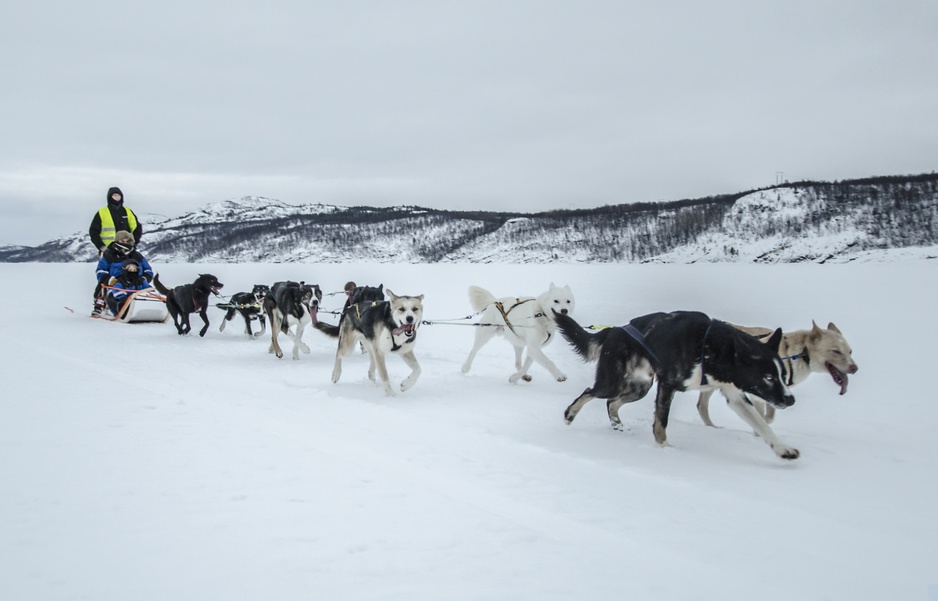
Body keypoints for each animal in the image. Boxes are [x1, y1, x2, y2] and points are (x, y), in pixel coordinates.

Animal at [556, 310, 796, 460]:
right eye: (768, 377)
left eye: (783, 374)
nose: (790, 399)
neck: (709, 348)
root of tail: (615, 329)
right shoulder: (668, 385)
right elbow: (661, 421)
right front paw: (664, 448)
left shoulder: (735, 396)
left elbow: (762, 425)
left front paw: (783, 449)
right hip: (611, 382)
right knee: (590, 392)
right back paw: (570, 414)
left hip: (640, 388)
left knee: (612, 404)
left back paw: (619, 427)